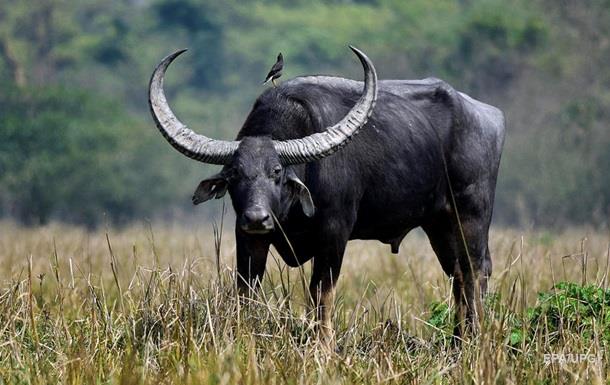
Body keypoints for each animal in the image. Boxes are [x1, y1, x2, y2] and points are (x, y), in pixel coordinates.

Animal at [147, 45, 504, 342]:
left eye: (277, 172)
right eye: (235, 174)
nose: (257, 218)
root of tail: (490, 116)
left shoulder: (334, 234)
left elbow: (321, 293)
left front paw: (323, 346)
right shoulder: (246, 237)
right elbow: (246, 290)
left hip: (471, 215)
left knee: (475, 271)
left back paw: (475, 339)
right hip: (439, 224)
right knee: (457, 275)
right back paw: (458, 341)